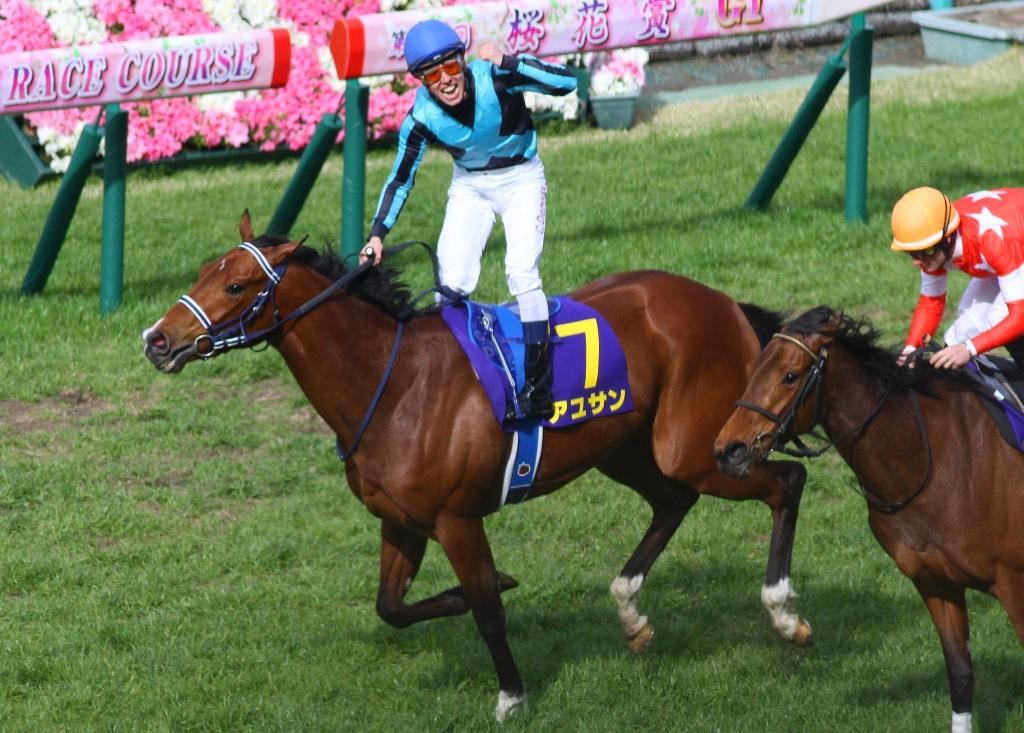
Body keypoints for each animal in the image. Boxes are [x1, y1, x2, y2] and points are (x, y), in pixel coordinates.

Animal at [142, 212, 811, 721]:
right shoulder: (401, 520)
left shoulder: (457, 518)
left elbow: (488, 607)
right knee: (674, 500)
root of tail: (721, 300)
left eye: (236, 286)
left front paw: (511, 694)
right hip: (623, 449)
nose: (157, 340)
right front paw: (472, 596)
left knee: (785, 481)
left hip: (696, 447)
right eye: (202, 272)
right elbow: (391, 607)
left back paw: (783, 612)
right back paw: (631, 613)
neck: (394, 384)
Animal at [713, 306, 1024, 733]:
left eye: (790, 376)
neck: (932, 458)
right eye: (752, 370)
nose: (728, 450)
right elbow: (961, 673)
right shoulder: (935, 581)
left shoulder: (1014, 583)